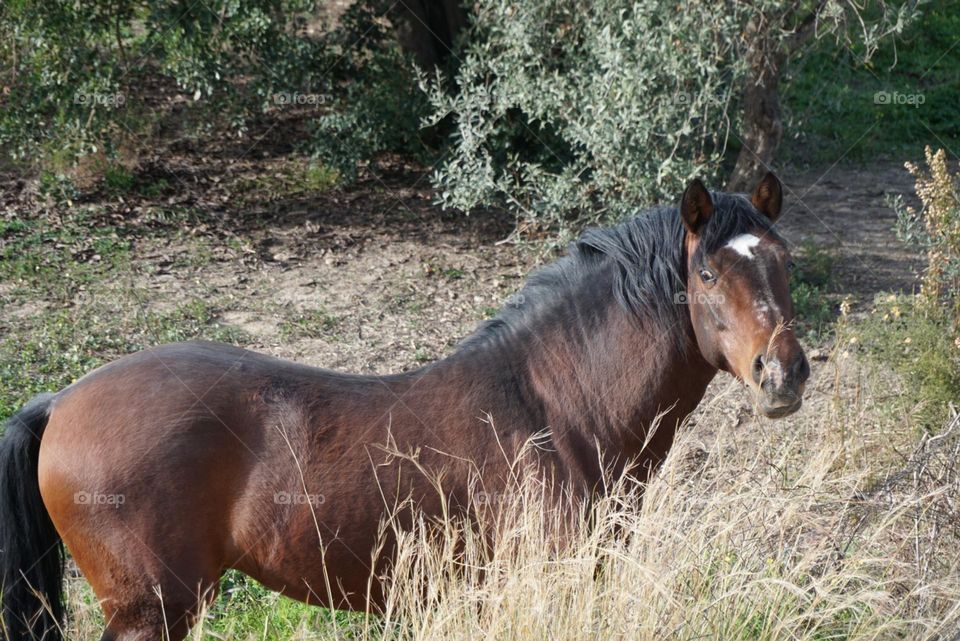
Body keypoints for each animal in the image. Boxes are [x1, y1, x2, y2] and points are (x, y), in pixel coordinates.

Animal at [0, 172, 808, 636]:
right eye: (707, 273)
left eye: (783, 259)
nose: (783, 372)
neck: (557, 406)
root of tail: (62, 400)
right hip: (152, 611)